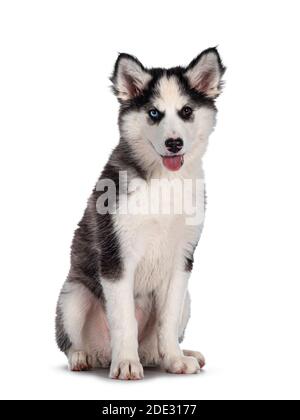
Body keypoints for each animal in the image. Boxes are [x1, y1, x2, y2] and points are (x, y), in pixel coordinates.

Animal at [55, 47, 225, 378]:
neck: (165, 182)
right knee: (71, 340)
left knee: (159, 339)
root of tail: (101, 354)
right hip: (73, 294)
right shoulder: (117, 255)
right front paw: (125, 364)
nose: (174, 143)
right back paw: (83, 357)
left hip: (187, 299)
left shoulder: (182, 258)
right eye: (154, 113)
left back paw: (178, 354)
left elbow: (167, 320)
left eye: (187, 111)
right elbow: (124, 320)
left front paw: (174, 359)